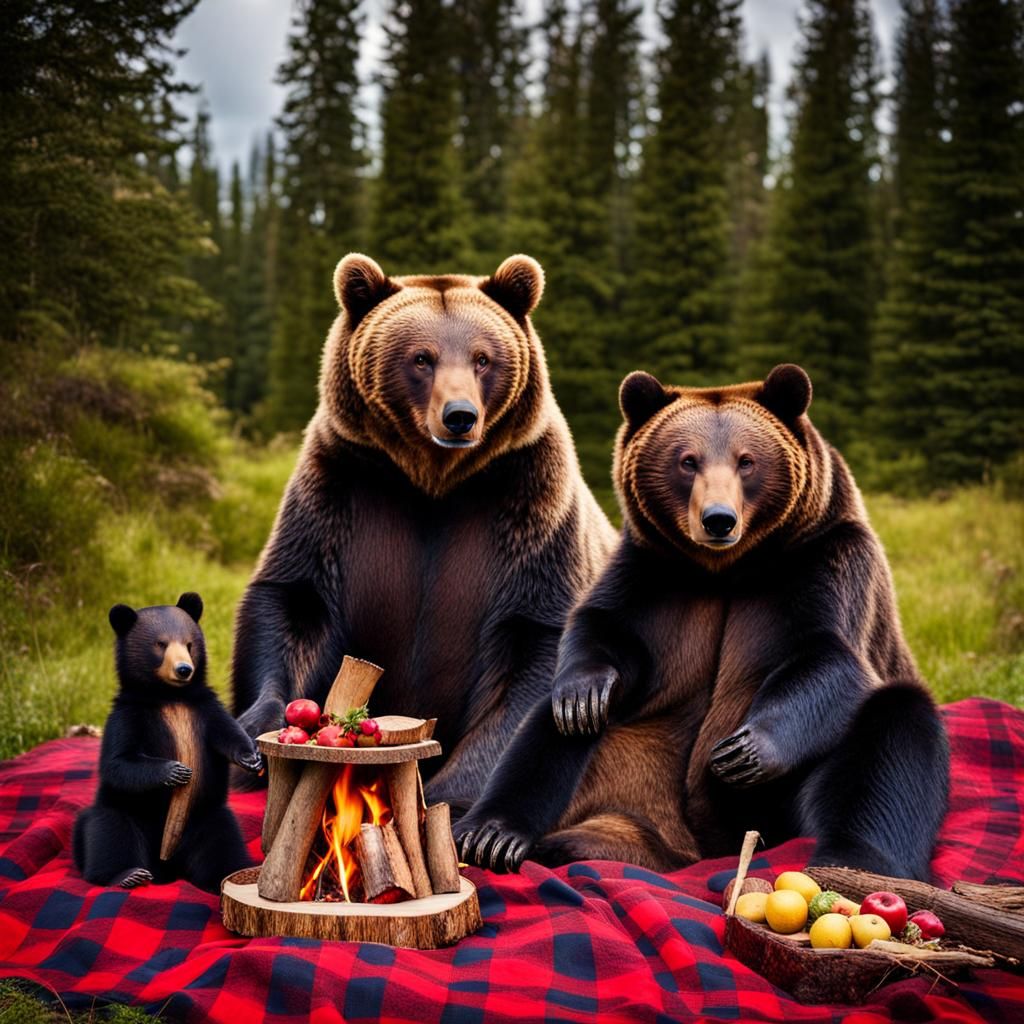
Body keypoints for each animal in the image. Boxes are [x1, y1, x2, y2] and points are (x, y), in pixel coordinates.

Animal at [73, 593, 263, 892]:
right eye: (160, 644)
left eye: (188, 644)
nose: (184, 669)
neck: (170, 696)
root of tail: (166, 866)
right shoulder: (129, 713)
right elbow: (118, 762)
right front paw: (176, 771)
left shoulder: (204, 708)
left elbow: (228, 732)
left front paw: (251, 757)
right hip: (125, 811)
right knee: (108, 834)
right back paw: (127, 875)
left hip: (206, 817)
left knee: (223, 843)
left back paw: (232, 874)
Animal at [231, 253, 616, 809]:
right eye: (420, 358)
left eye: (483, 358)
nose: (460, 416)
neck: (433, 482)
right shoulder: (341, 487)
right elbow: (295, 599)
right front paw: (256, 738)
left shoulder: (530, 503)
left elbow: (535, 640)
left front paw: (451, 790)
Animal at [454, 364, 950, 881]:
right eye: (686, 460)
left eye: (747, 461)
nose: (718, 519)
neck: (726, 571)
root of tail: (690, 847)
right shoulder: (654, 574)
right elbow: (601, 627)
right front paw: (584, 693)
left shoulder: (824, 563)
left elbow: (828, 656)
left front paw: (742, 751)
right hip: (631, 764)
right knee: (546, 731)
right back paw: (495, 835)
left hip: (776, 807)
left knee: (890, 736)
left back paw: (852, 859)